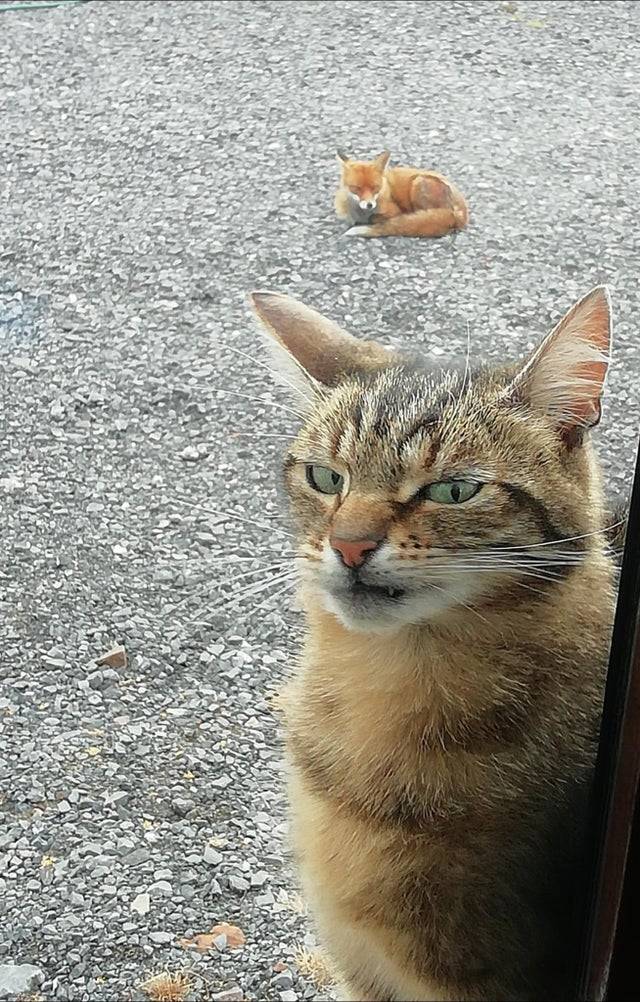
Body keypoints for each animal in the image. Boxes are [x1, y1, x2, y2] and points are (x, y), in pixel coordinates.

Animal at [334, 149, 469, 239]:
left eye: (375, 188)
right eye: (356, 188)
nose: (369, 205)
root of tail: (460, 214)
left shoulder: (394, 211)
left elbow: (375, 218)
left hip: (418, 183)